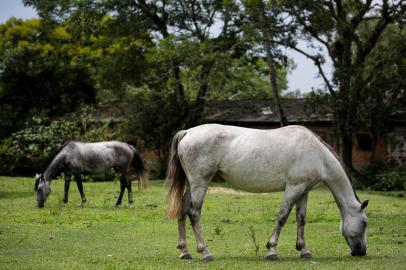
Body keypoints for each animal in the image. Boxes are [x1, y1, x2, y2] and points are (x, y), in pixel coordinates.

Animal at [167, 124, 370, 262]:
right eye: (365, 223)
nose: (361, 252)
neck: (317, 154)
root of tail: (187, 133)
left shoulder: (303, 191)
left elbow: (301, 219)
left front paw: (304, 250)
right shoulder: (293, 188)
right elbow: (282, 217)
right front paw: (272, 250)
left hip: (192, 185)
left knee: (183, 211)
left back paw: (185, 252)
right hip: (200, 183)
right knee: (194, 213)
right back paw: (205, 252)